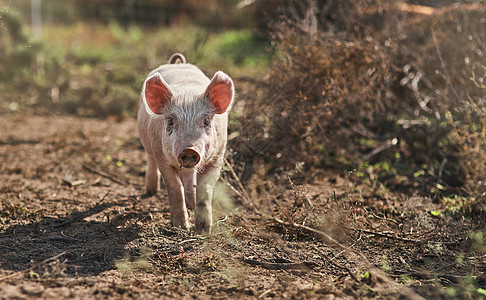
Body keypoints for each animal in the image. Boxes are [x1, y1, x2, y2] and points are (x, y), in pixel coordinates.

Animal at [137, 53, 235, 232]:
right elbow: (175, 188)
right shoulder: (162, 157)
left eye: (206, 121)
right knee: (150, 160)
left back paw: (191, 203)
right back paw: (151, 191)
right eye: (170, 121)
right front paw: (181, 227)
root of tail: (176, 63)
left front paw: (203, 230)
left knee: (190, 177)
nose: (189, 150)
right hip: (148, 142)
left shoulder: (218, 156)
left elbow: (205, 189)